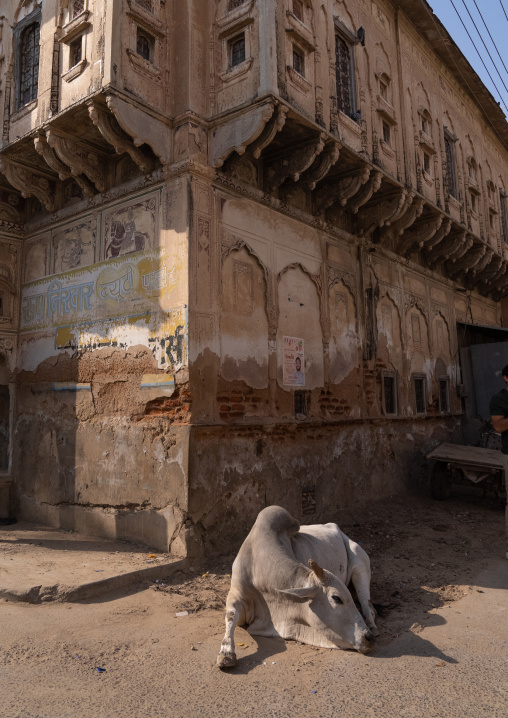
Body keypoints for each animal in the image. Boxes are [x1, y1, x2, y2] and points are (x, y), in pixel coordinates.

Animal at [217, 506, 379, 669]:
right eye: (336, 598)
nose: (368, 638)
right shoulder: (236, 593)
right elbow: (231, 616)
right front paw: (226, 653)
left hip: (360, 564)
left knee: (366, 602)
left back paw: (371, 623)